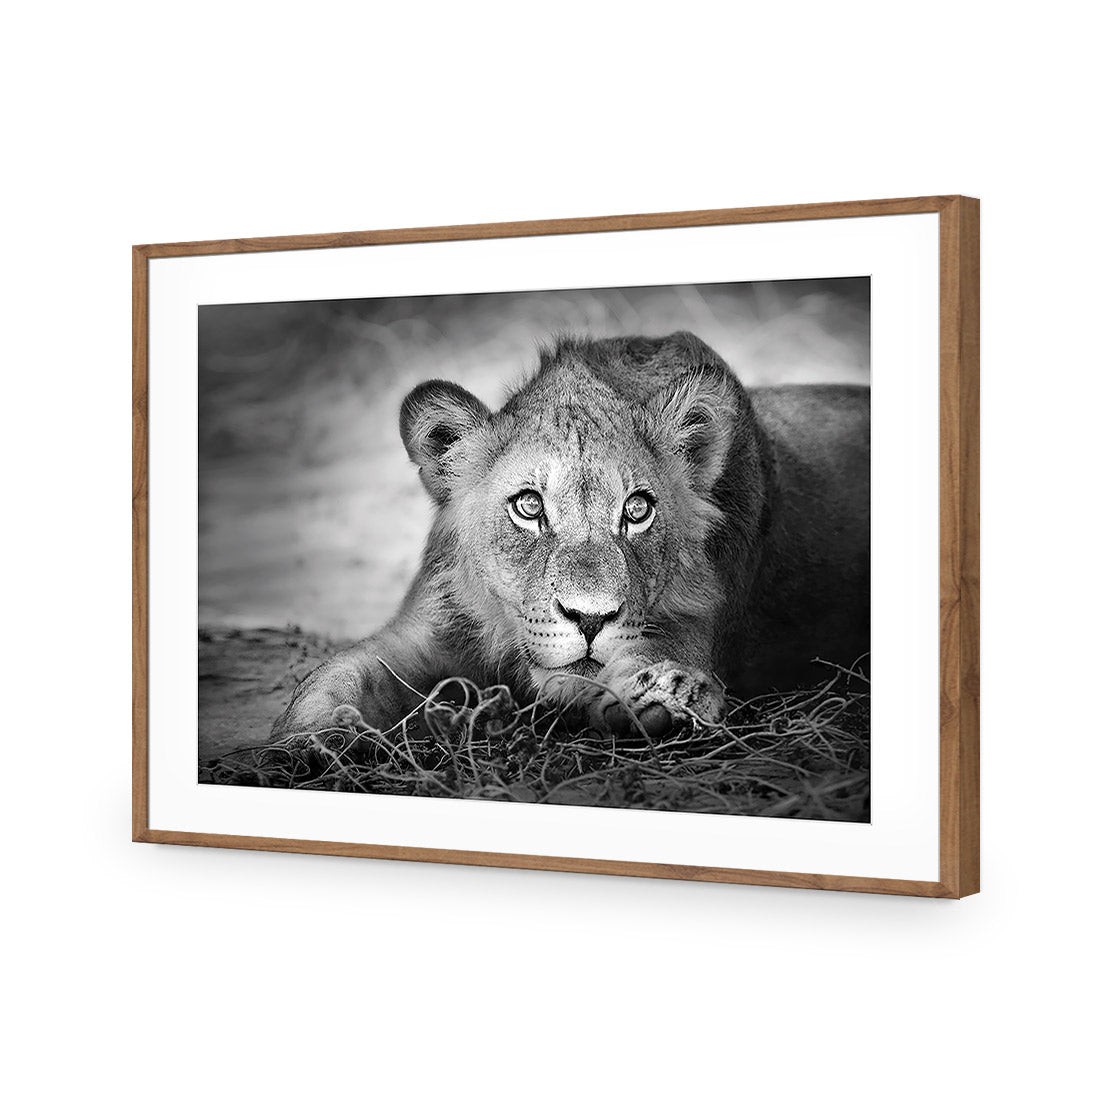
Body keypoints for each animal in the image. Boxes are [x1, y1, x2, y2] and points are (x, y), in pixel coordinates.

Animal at [272, 331, 869, 741]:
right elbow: (335, 674)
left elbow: (656, 655)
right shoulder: (427, 630)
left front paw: (667, 695)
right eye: (529, 506)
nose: (589, 619)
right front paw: (306, 741)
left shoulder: (699, 624)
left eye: (637, 510)